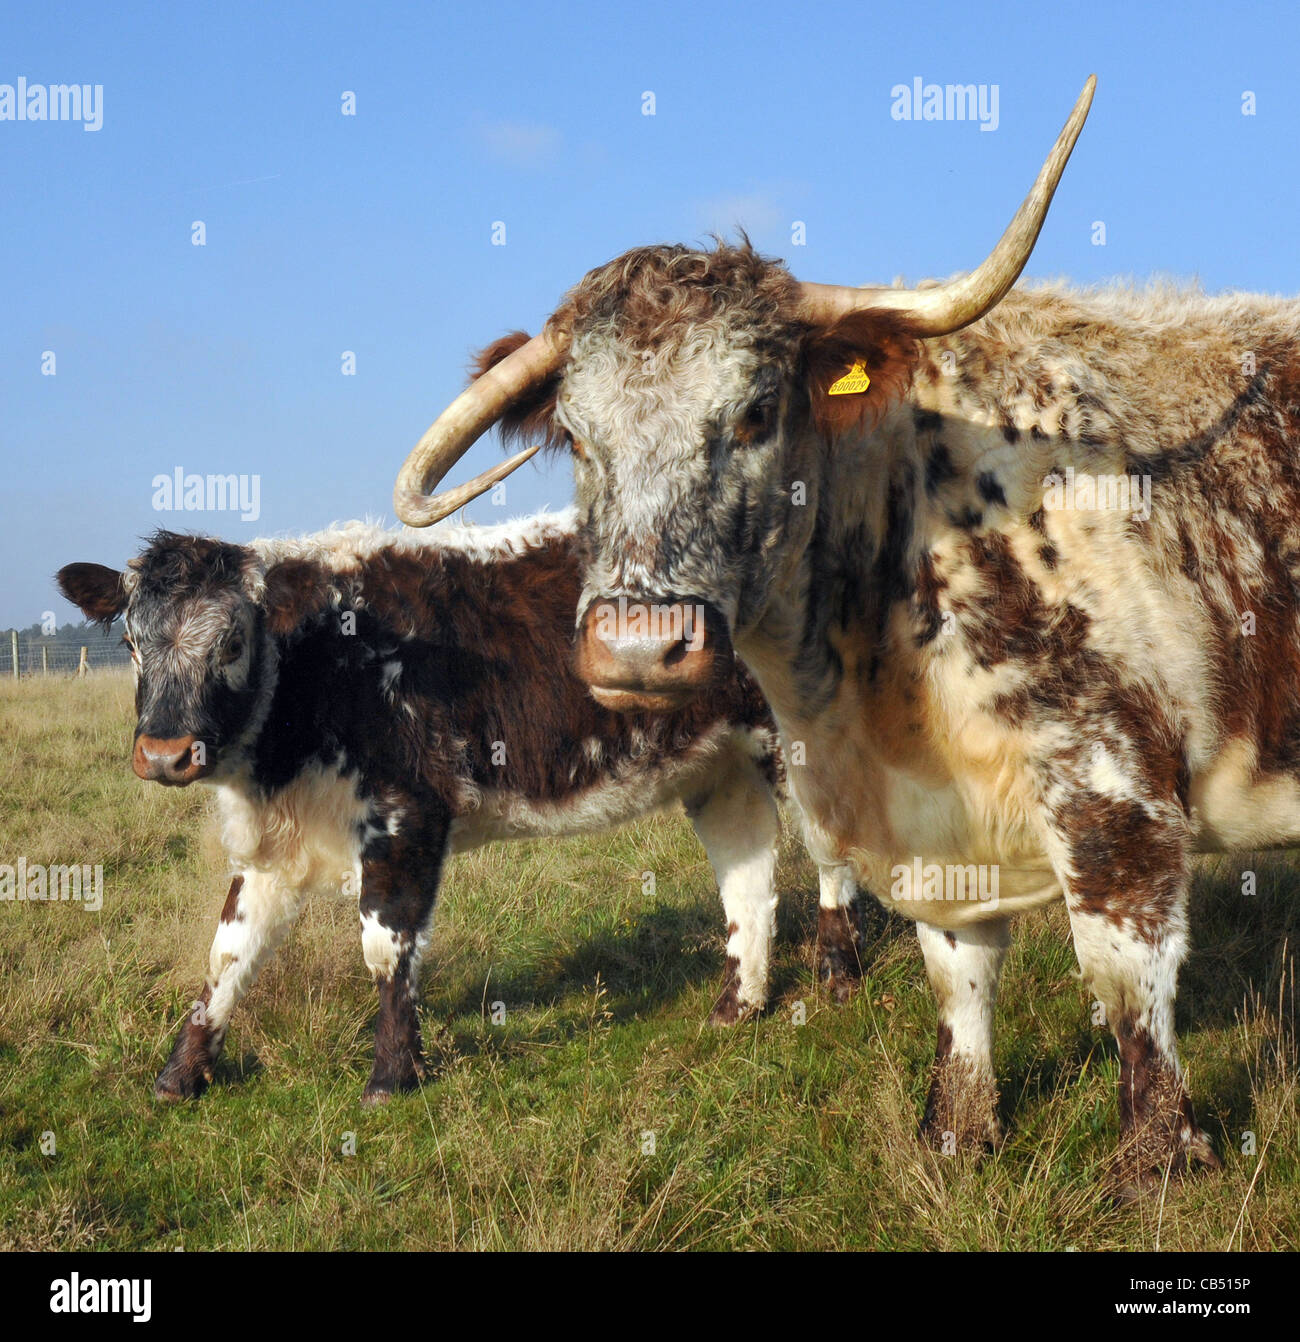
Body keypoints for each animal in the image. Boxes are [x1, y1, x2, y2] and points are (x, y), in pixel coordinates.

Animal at [57, 512, 866, 1104]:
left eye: (229, 641)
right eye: (130, 640)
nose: (166, 753)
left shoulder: (405, 815)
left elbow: (384, 948)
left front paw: (391, 1076)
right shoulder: (274, 847)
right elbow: (227, 953)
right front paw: (181, 1073)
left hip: (799, 739)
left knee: (831, 849)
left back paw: (840, 972)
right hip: (718, 763)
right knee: (748, 872)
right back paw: (739, 1003)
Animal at [393, 74, 1300, 1196]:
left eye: (752, 413)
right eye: (576, 436)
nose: (640, 647)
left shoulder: (1113, 788)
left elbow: (1126, 978)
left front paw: (1156, 1166)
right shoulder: (930, 830)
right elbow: (958, 975)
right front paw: (955, 1134)